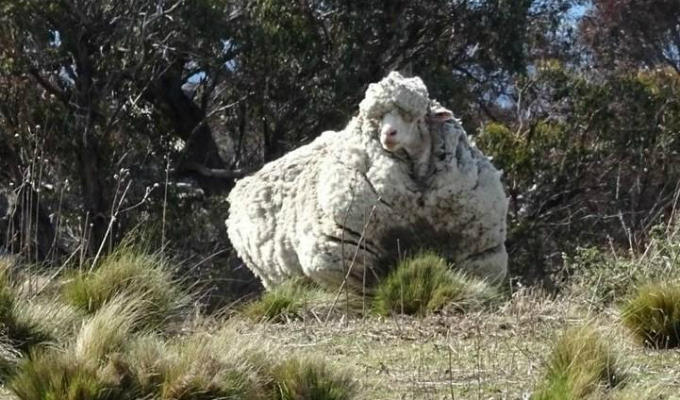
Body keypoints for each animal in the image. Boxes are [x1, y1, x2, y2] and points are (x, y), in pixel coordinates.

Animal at [226, 71, 508, 291]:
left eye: (413, 116)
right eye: (377, 118)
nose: (388, 134)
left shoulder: (480, 254)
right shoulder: (344, 256)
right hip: (276, 276)